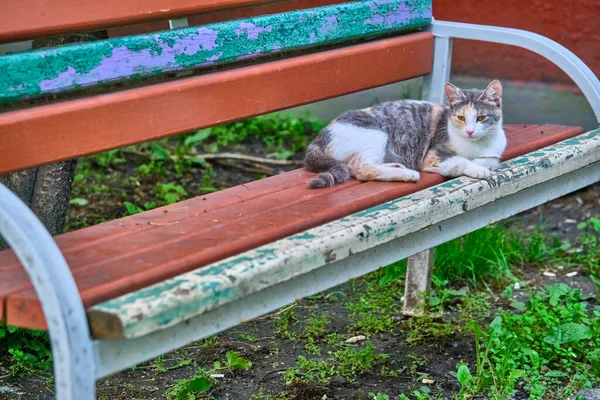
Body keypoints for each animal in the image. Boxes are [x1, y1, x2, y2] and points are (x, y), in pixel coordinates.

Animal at [304, 80, 506, 190]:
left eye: (481, 117)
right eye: (461, 117)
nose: (470, 131)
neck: (475, 146)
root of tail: (320, 137)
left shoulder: (493, 153)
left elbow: (489, 160)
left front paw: (481, 164)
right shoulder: (433, 156)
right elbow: (460, 161)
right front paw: (477, 169)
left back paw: (396, 165)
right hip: (375, 133)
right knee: (362, 169)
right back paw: (407, 174)